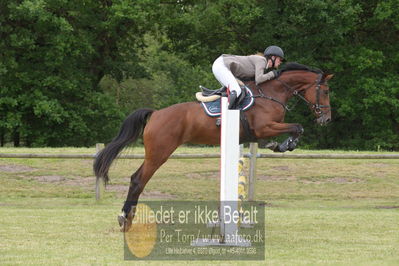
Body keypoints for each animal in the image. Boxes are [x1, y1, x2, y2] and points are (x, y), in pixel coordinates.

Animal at [94, 63, 334, 232]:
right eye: (326, 91)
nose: (327, 119)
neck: (272, 93)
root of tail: (155, 114)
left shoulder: (260, 133)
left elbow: (290, 130)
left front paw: (279, 144)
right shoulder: (265, 127)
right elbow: (298, 127)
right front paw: (286, 144)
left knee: (137, 178)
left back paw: (127, 218)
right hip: (160, 153)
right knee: (138, 180)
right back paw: (125, 218)